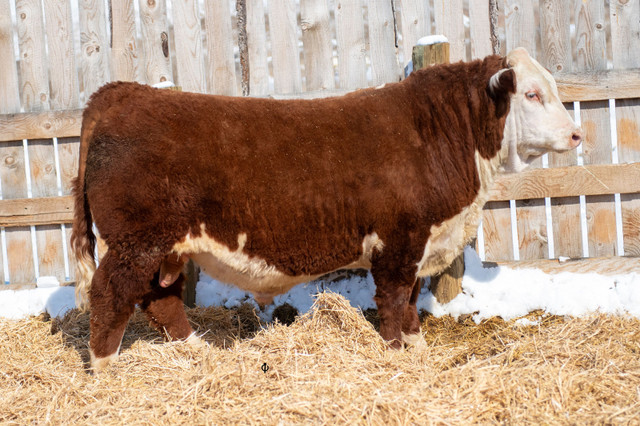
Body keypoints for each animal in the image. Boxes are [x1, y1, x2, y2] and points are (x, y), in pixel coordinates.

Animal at [71, 47, 580, 370]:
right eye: (532, 94)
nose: (577, 134)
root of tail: (123, 92)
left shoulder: (419, 244)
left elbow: (411, 300)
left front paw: (417, 349)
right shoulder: (398, 242)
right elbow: (393, 301)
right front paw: (395, 353)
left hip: (165, 249)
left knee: (162, 302)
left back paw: (201, 352)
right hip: (136, 243)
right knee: (110, 294)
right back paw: (105, 368)